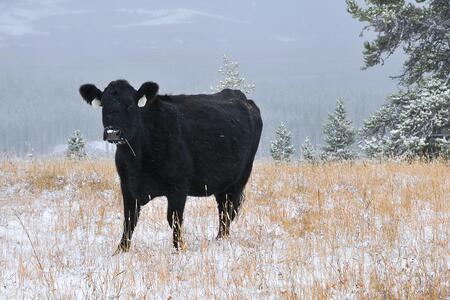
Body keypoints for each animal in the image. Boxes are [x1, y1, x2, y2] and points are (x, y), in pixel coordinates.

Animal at [79, 79, 262, 251]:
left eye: (130, 105)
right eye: (104, 105)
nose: (112, 133)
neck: (138, 159)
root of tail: (241, 97)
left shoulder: (179, 186)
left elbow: (174, 219)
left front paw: (179, 248)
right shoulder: (127, 186)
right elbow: (129, 219)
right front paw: (121, 250)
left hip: (239, 180)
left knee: (227, 211)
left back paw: (221, 240)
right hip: (222, 184)